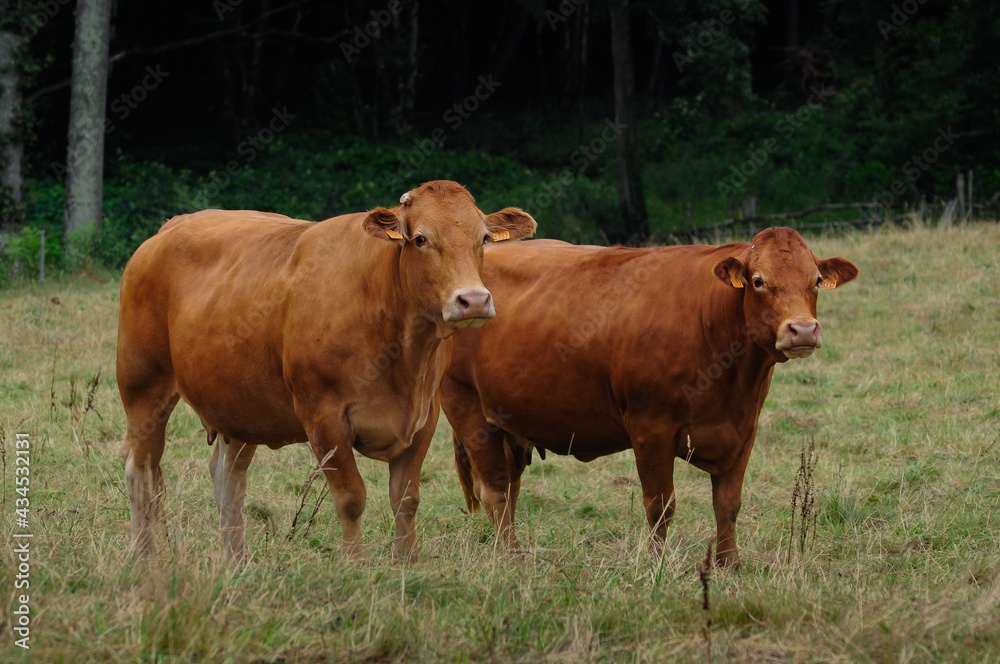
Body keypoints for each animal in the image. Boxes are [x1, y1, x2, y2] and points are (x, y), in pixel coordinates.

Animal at [115, 179, 540, 556]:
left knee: (228, 480)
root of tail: (174, 225)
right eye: (420, 238)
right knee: (141, 470)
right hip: (143, 386)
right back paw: (144, 554)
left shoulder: (425, 417)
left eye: (483, 238)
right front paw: (356, 566)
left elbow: (406, 500)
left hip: (238, 406)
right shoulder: (324, 417)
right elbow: (351, 499)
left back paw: (236, 559)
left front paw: (406, 563)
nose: (474, 300)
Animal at [442, 227, 856, 564]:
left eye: (817, 280)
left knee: (510, 488)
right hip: (467, 408)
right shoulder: (651, 428)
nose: (803, 330)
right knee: (495, 490)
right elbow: (660, 506)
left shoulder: (743, 430)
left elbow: (728, 505)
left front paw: (729, 565)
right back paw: (511, 557)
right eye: (758, 281)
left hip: (508, 421)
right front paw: (657, 564)